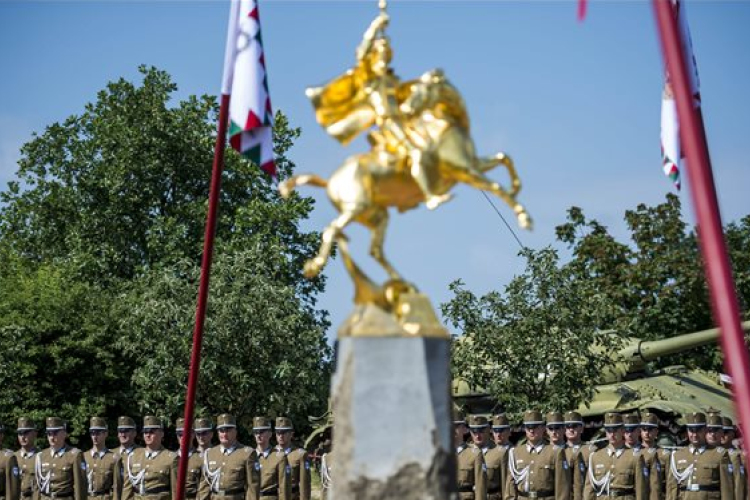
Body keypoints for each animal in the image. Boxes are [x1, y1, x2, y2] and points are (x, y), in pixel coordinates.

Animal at [280, 70, 532, 290]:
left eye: (423, 88)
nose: (407, 109)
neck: (443, 123)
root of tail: (329, 181)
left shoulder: (473, 164)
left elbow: (503, 157)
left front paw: (517, 188)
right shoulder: (463, 170)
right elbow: (496, 186)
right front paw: (523, 216)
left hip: (376, 215)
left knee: (375, 251)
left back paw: (400, 282)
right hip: (355, 207)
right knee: (332, 229)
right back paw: (314, 266)